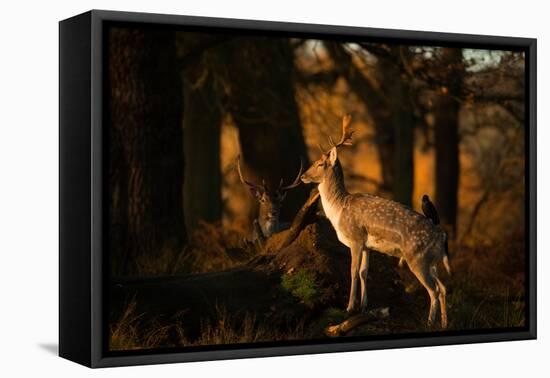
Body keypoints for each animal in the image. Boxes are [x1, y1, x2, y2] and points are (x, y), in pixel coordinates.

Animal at [302, 115, 452, 328]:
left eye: (320, 164)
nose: (303, 176)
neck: (338, 210)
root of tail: (443, 236)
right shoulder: (367, 245)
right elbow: (364, 272)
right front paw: (364, 306)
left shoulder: (356, 238)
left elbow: (353, 271)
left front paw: (349, 307)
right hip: (432, 261)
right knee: (444, 287)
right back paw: (444, 323)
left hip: (417, 257)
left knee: (434, 290)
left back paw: (429, 322)